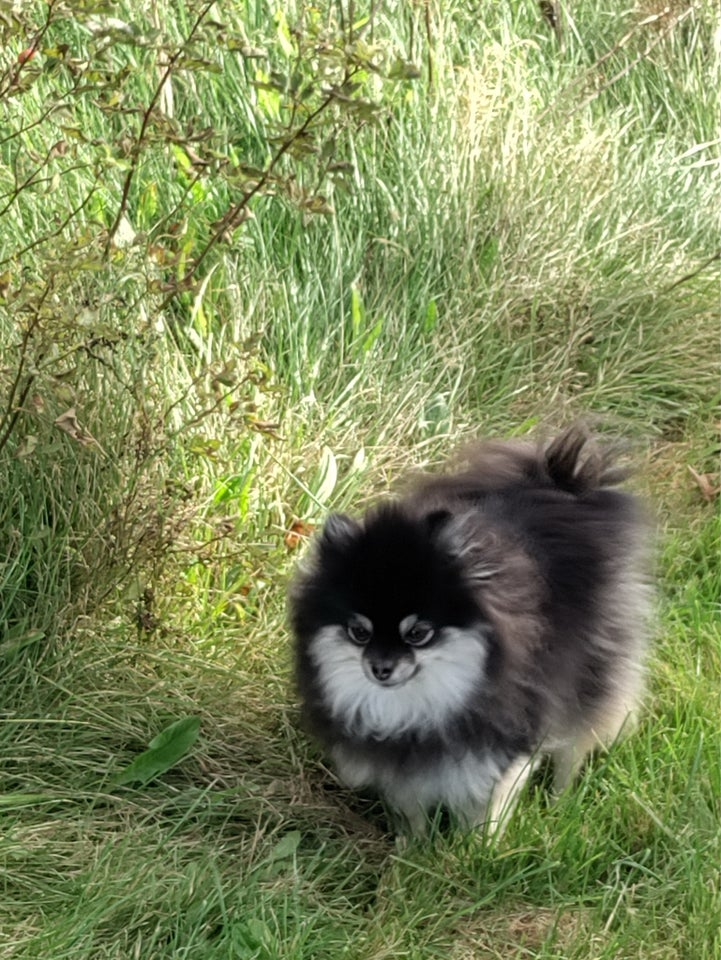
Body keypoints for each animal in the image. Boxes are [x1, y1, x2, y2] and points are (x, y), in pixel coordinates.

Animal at [288, 428, 652, 832]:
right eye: (359, 632)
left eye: (418, 633)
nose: (380, 668)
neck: (420, 704)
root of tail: (562, 485)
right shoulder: (400, 764)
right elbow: (410, 807)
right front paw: (412, 843)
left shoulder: (500, 747)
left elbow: (483, 810)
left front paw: (474, 845)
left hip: (590, 674)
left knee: (575, 744)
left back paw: (560, 805)